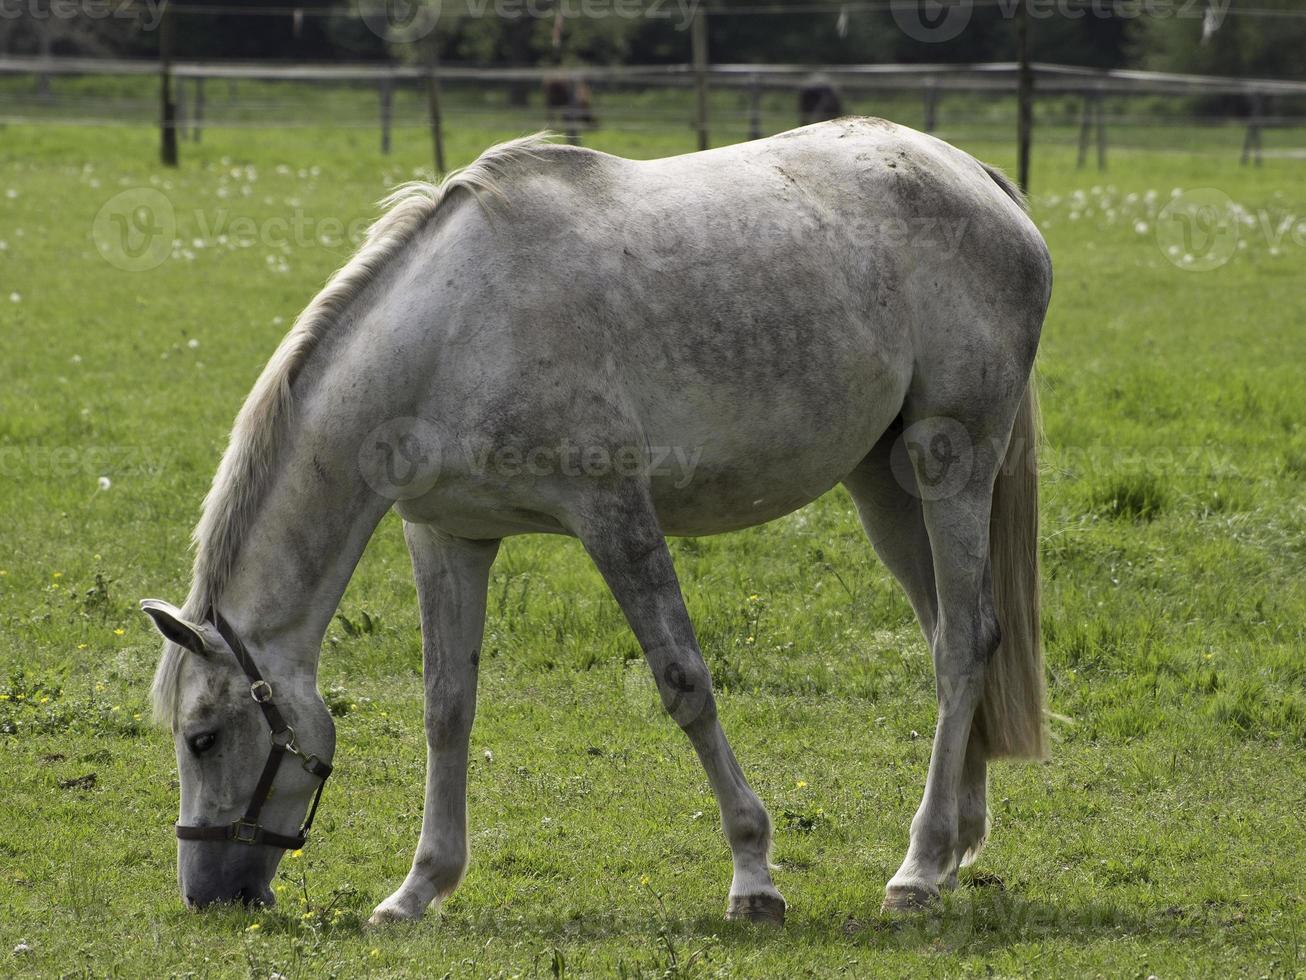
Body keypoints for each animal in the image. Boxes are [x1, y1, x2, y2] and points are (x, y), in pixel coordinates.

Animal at [143, 118, 1050, 925]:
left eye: (203, 738)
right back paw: (951, 847)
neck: (450, 335)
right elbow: (447, 706)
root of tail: (979, 178)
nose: (209, 895)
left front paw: (753, 878)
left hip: (951, 458)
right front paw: (419, 887)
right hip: (885, 486)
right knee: (948, 636)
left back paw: (919, 871)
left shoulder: (613, 511)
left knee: (964, 642)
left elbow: (685, 684)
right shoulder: (448, 535)